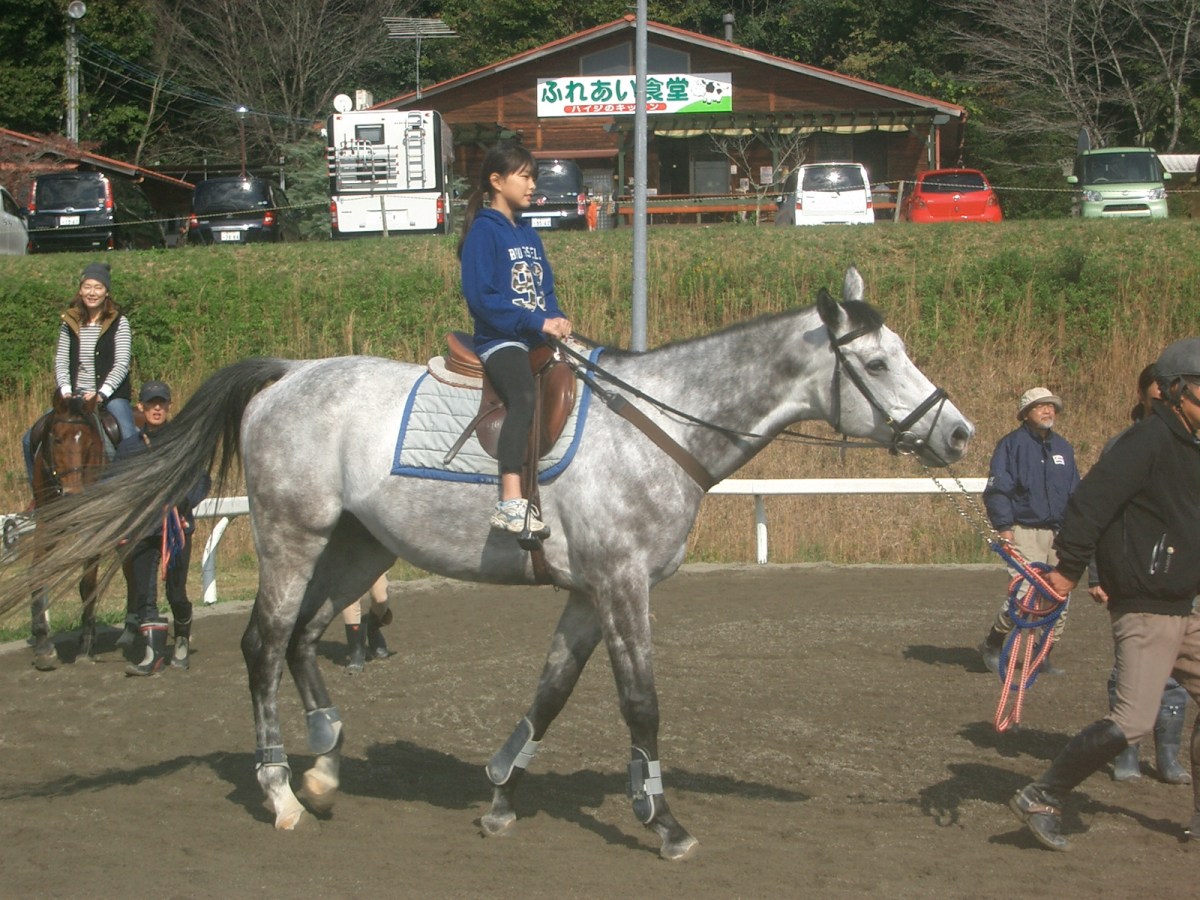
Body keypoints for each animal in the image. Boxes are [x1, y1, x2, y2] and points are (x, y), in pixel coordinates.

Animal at [27, 393, 111, 670]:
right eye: (57, 439)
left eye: (88, 442)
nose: (73, 493)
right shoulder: (47, 523)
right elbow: (37, 572)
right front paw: (43, 643)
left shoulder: (93, 527)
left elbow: (88, 582)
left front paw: (86, 646)